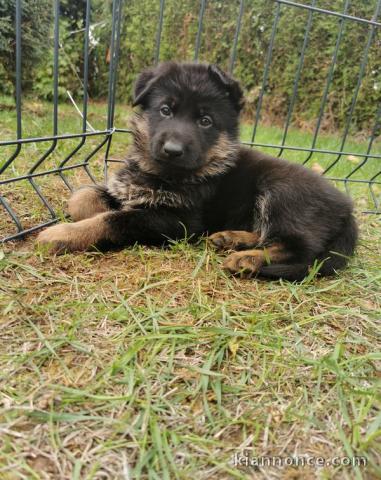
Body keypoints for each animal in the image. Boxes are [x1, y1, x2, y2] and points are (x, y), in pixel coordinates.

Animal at [37, 61, 358, 280]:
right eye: (165, 110)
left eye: (205, 121)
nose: (173, 150)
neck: (163, 173)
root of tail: (348, 210)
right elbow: (82, 197)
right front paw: (91, 209)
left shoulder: (177, 221)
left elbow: (115, 220)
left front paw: (63, 234)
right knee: (269, 235)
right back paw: (231, 239)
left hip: (282, 191)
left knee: (299, 250)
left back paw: (247, 259)